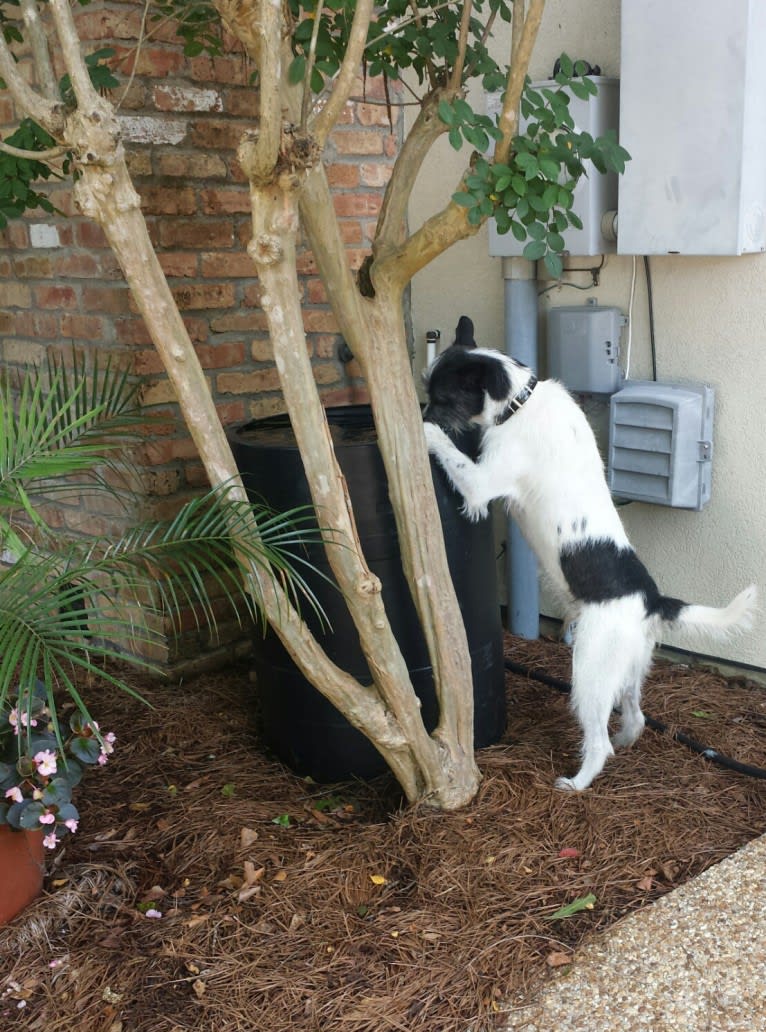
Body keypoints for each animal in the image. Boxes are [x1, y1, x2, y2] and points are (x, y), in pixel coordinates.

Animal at [425, 319, 763, 788]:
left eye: (441, 398)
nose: (420, 412)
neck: (520, 402)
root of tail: (651, 600)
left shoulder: (480, 483)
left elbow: (449, 449)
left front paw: (423, 433)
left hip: (588, 671)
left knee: (599, 742)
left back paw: (578, 782)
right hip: (627, 670)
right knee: (636, 717)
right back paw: (625, 740)